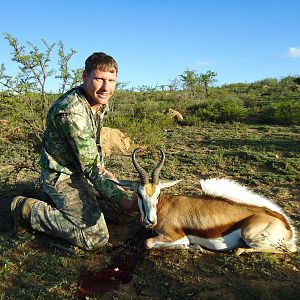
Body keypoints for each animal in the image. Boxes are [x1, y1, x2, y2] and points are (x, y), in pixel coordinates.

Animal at [115, 148, 298, 255]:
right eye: (139, 194)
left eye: (158, 194)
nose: (150, 220)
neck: (162, 208)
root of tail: (287, 226)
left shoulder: (175, 235)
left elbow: (148, 242)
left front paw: (194, 247)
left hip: (249, 234)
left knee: (291, 248)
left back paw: (237, 250)